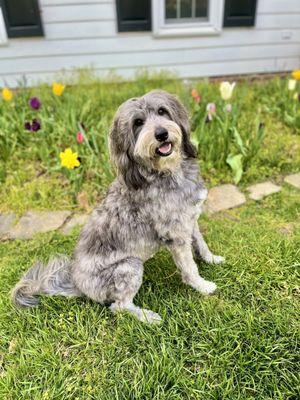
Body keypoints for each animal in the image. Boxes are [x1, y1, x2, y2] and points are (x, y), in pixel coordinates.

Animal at [11, 89, 224, 324]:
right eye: (138, 123)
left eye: (162, 111)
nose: (161, 134)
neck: (167, 172)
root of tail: (77, 283)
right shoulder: (175, 234)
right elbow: (189, 266)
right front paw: (202, 286)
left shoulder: (190, 219)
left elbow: (201, 243)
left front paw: (212, 259)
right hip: (129, 266)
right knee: (119, 306)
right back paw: (147, 316)